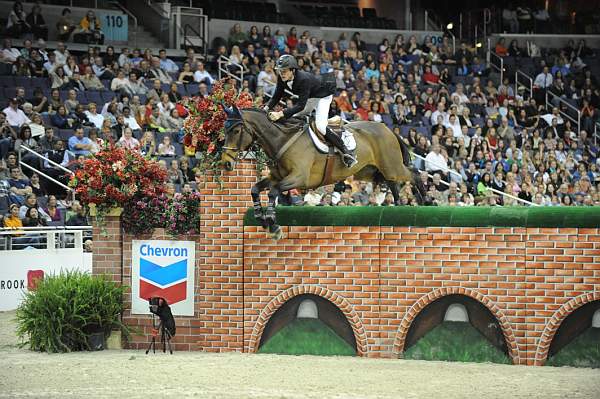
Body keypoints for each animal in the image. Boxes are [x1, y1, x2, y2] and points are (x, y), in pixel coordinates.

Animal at [223, 104, 414, 239]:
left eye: (236, 130)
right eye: (225, 130)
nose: (226, 163)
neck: (282, 140)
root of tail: (388, 129)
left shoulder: (300, 178)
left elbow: (273, 191)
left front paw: (272, 223)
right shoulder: (276, 177)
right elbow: (255, 189)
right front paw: (260, 217)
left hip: (392, 166)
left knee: (413, 174)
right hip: (370, 172)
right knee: (392, 183)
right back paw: (398, 206)